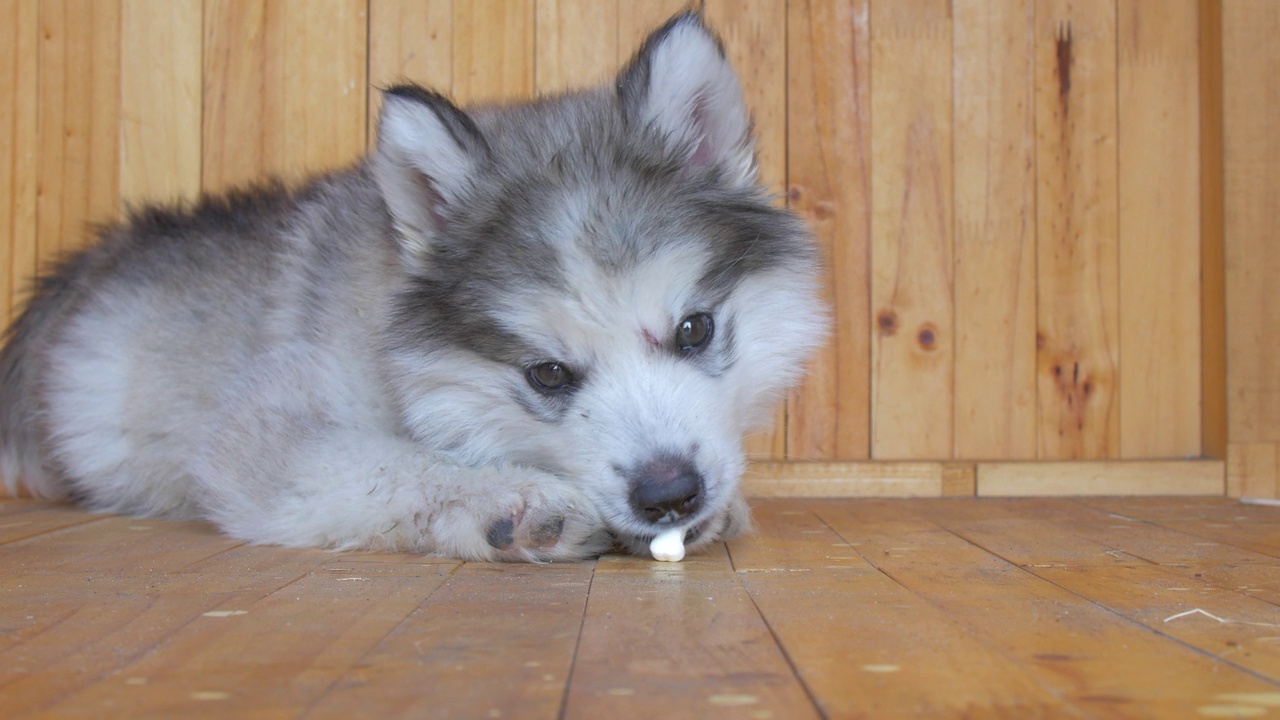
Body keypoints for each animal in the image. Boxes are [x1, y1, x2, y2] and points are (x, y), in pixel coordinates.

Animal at [0, 12, 819, 561]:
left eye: (694, 329)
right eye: (548, 374)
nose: (670, 493)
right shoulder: (263, 434)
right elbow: (382, 462)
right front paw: (505, 496)